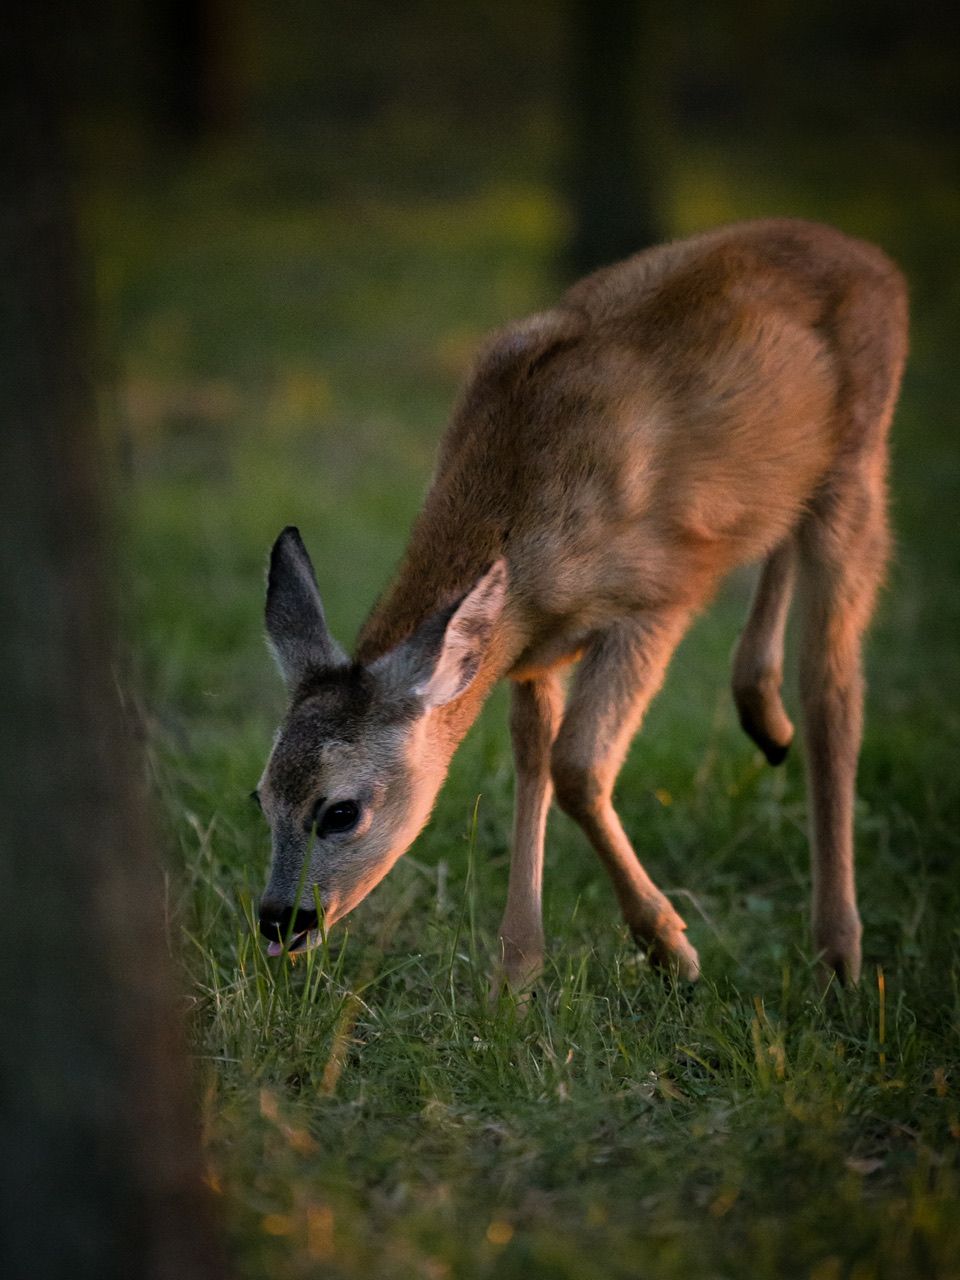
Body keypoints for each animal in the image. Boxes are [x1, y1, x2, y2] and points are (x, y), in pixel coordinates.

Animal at [253, 217, 911, 988]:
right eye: (260, 797)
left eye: (340, 811)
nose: (280, 921)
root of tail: (874, 260)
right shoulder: (529, 651)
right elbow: (532, 760)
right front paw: (516, 971)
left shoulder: (653, 601)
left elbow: (575, 767)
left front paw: (670, 947)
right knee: (780, 536)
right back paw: (764, 715)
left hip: (859, 462)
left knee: (833, 684)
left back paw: (840, 953)